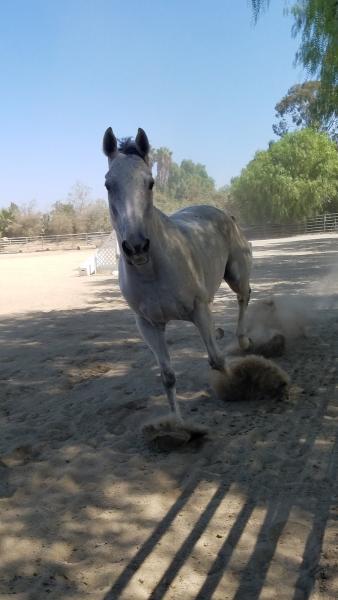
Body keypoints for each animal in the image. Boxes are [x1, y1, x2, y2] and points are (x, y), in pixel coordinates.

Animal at [103, 126, 254, 422]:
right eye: (108, 184)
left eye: (150, 182)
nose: (136, 247)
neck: (153, 271)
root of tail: (222, 213)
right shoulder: (148, 325)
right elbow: (168, 376)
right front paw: (177, 424)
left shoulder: (198, 310)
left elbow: (217, 360)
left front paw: (239, 386)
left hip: (236, 275)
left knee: (245, 297)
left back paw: (242, 338)